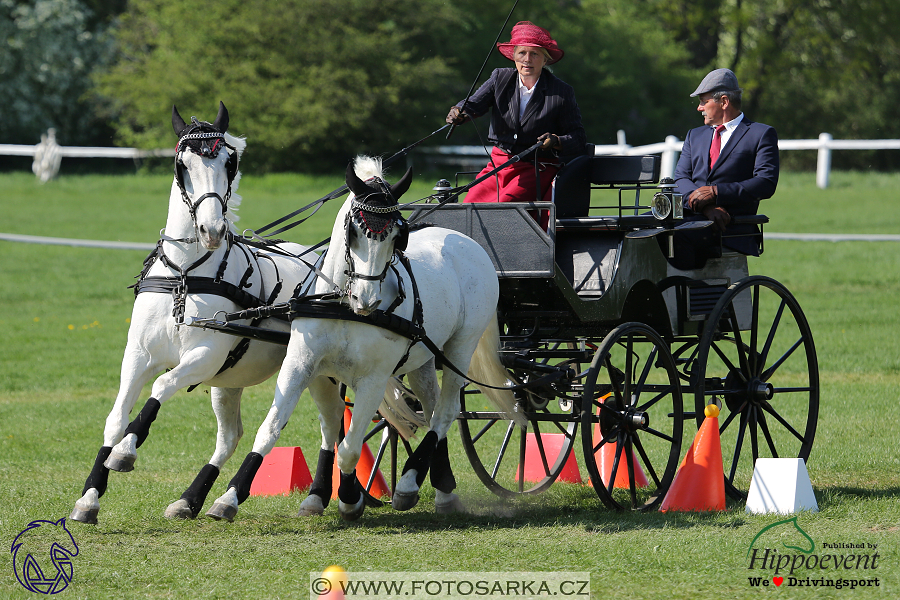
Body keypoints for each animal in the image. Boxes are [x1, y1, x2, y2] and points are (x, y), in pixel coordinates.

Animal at [68, 103, 330, 524]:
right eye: (183, 165)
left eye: (229, 162)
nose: (211, 230)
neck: (185, 276)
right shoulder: (138, 356)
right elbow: (116, 416)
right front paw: (90, 497)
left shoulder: (204, 357)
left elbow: (161, 386)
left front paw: (125, 452)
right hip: (230, 381)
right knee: (230, 436)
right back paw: (192, 500)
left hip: (319, 372)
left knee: (330, 426)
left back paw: (315, 497)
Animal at [207, 157, 524, 524]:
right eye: (354, 230)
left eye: (397, 236)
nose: (367, 299)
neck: (343, 305)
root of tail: (464, 240)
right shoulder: (300, 365)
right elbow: (270, 430)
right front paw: (228, 498)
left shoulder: (374, 379)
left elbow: (349, 448)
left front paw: (349, 499)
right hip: (422, 357)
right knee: (432, 410)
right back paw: (441, 488)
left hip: (460, 348)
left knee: (445, 412)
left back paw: (408, 483)